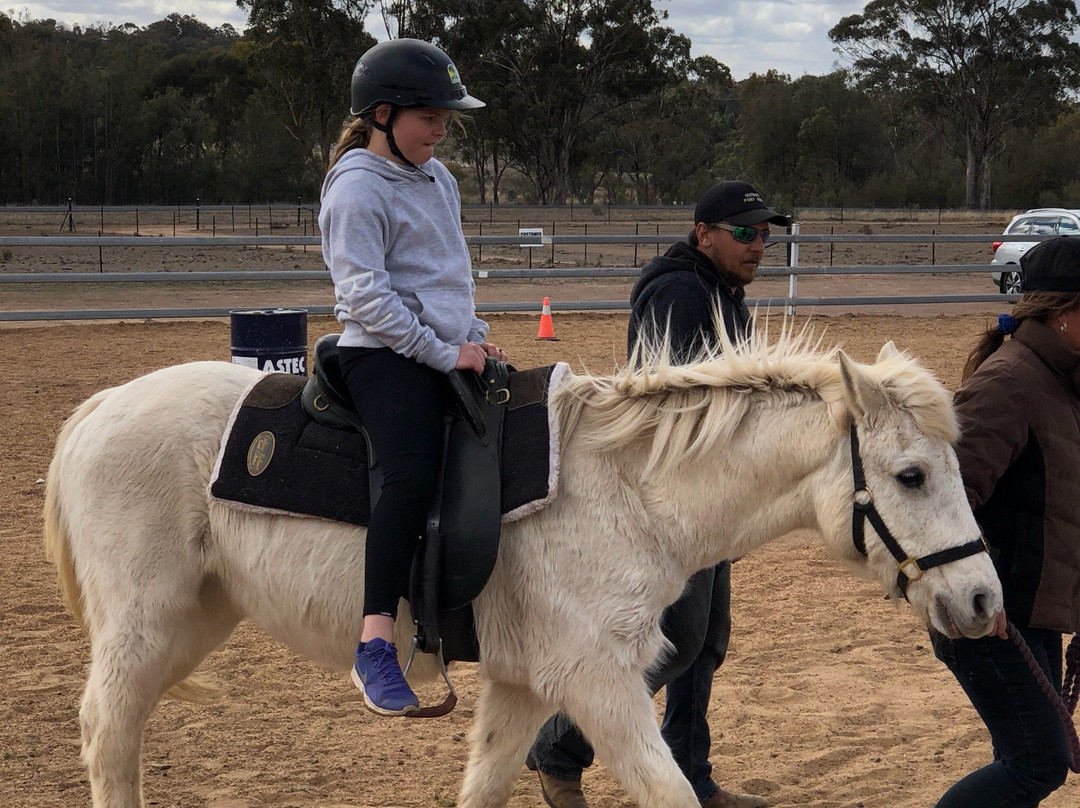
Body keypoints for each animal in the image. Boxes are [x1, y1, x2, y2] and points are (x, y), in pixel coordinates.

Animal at [43, 328, 1003, 808]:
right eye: (911, 476)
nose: (984, 597)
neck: (624, 491)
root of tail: (101, 407)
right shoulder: (602, 687)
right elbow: (669, 791)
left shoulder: (521, 687)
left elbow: (487, 784)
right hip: (142, 629)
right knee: (107, 734)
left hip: (195, 620)